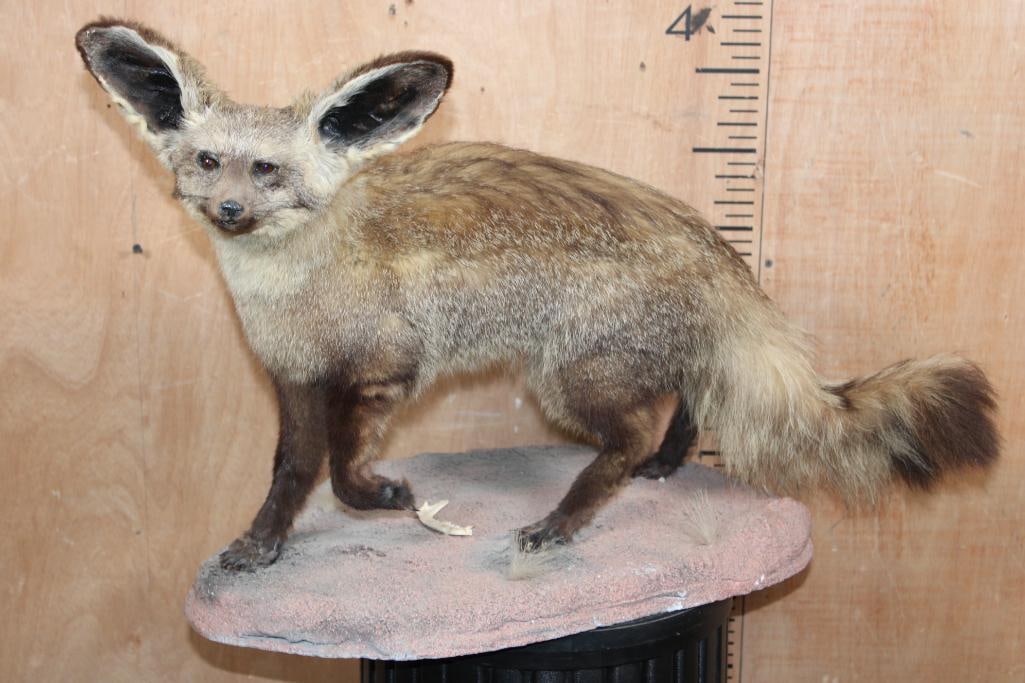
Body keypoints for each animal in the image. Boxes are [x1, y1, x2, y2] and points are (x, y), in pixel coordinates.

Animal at [76, 19, 999, 572]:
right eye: (208, 162)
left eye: (268, 171)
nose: (229, 211)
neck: (293, 289)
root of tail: (718, 251)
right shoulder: (294, 378)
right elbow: (293, 472)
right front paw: (262, 544)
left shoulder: (382, 373)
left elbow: (341, 473)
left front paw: (388, 498)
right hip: (617, 367)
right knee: (689, 396)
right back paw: (668, 463)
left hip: (569, 381)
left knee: (630, 435)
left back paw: (564, 519)